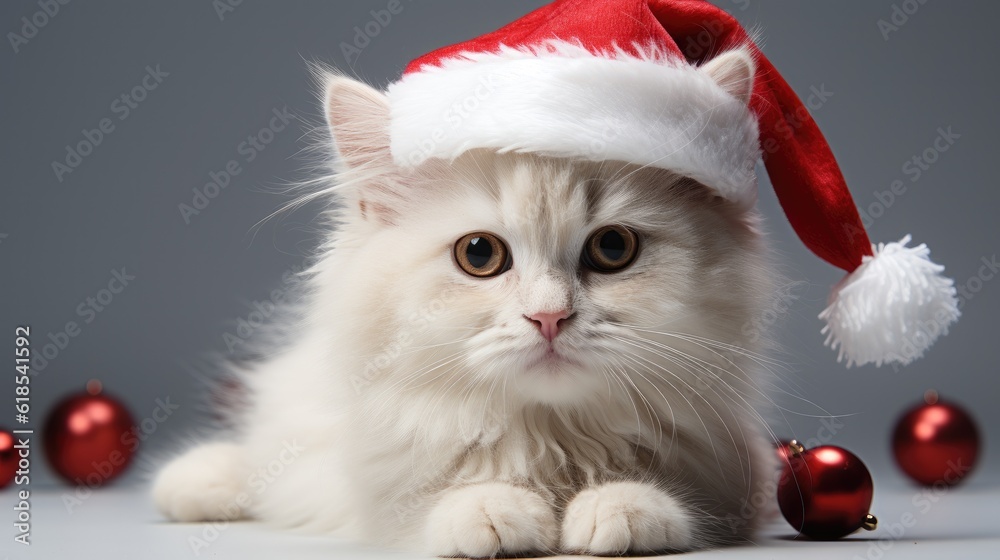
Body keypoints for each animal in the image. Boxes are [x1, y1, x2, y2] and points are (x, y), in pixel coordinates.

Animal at [154, 49, 780, 556]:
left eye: (612, 249)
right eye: (479, 254)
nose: (549, 317)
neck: (552, 438)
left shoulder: (734, 474)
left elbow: (669, 494)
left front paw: (624, 504)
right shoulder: (383, 476)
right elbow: (438, 492)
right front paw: (490, 510)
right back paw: (195, 479)